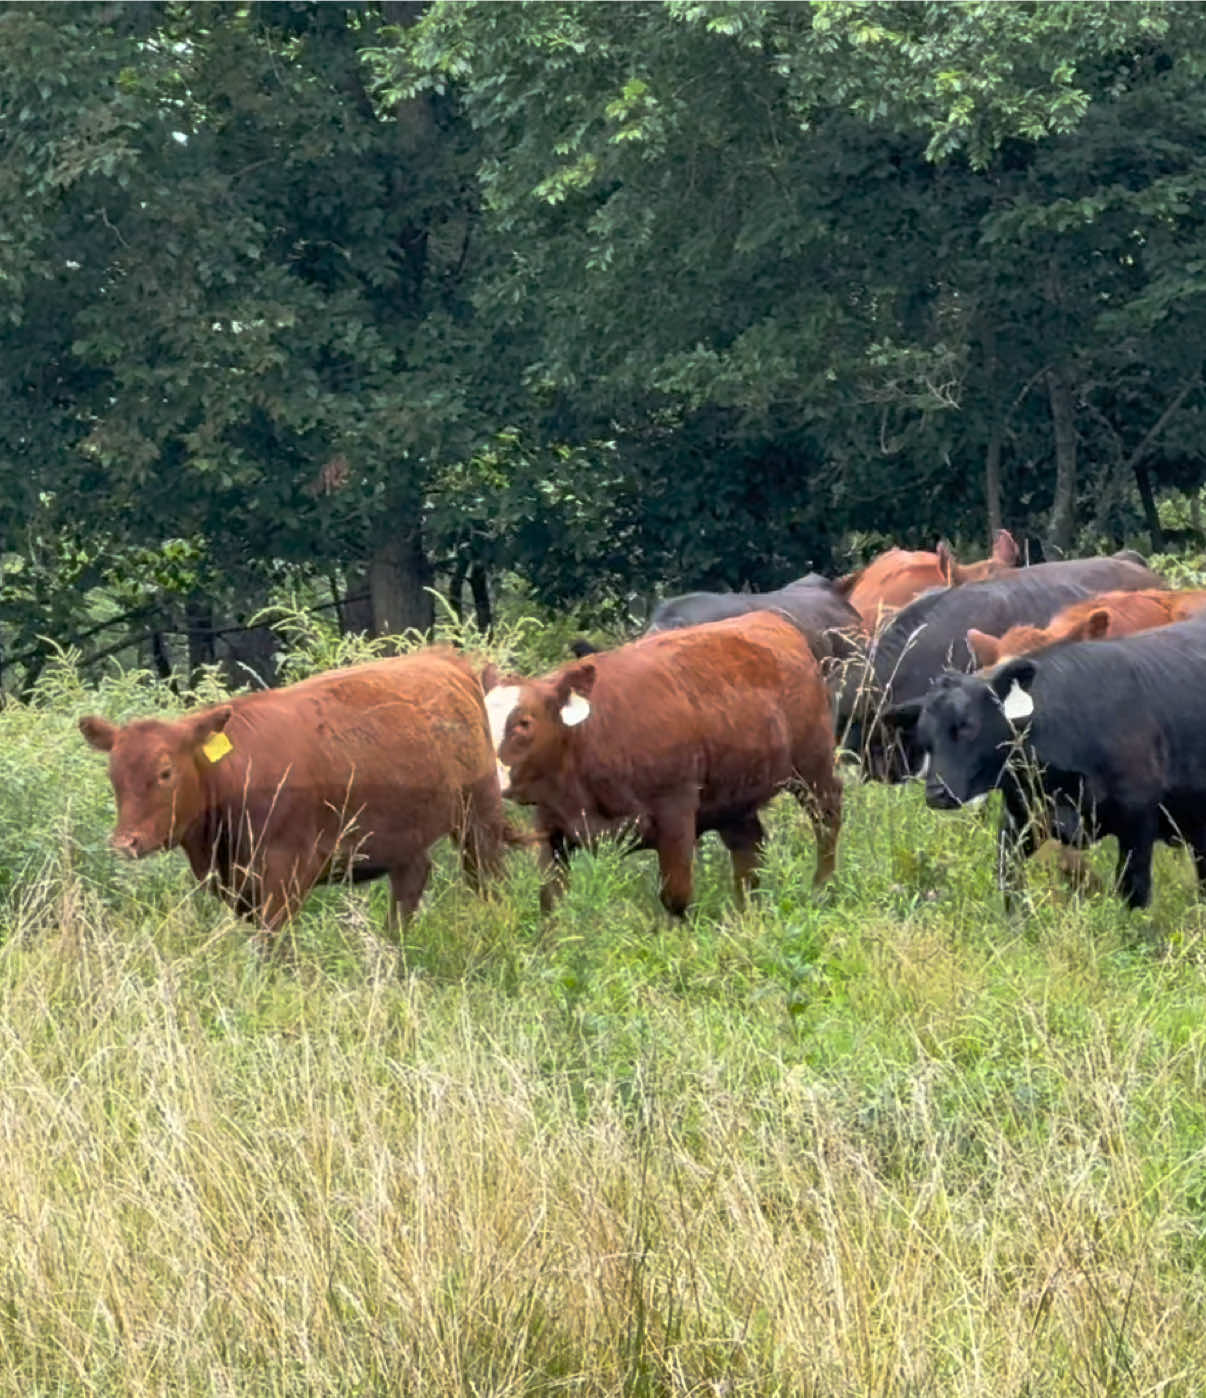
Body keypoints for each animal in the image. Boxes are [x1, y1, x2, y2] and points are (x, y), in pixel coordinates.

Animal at [79, 650, 512, 945]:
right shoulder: (236, 882)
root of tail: (444, 657)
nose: (125, 842)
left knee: (486, 876)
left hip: (480, 812)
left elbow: (274, 941)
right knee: (411, 881)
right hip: (403, 833)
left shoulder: (286, 869)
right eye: (113, 775)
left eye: (166, 772)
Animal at [483, 611, 842, 917]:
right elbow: (550, 900)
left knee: (827, 821)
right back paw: (746, 914)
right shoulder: (552, 827)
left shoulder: (675, 811)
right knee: (749, 847)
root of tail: (772, 619)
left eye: (524, 723)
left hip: (813, 766)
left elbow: (675, 897)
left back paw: (822, 888)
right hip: (734, 796)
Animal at [885, 618, 1206, 910]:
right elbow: (1010, 884)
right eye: (924, 739)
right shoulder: (1021, 819)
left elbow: (1133, 894)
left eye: (966, 725)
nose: (936, 793)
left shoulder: (1137, 821)